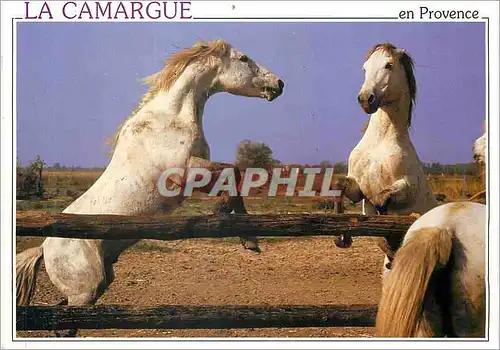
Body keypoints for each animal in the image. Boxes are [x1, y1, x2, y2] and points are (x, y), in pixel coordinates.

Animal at [15, 39, 286, 338]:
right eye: (244, 58)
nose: (279, 84)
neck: (171, 118)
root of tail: (44, 248)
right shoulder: (184, 174)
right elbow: (232, 171)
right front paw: (231, 220)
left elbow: (234, 173)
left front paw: (248, 236)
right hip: (84, 290)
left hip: (98, 284)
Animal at [336, 43, 438, 274]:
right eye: (365, 68)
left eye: (388, 65)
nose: (365, 99)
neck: (380, 143)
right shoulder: (358, 188)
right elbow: (339, 186)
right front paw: (342, 237)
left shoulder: (407, 186)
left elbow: (383, 199)